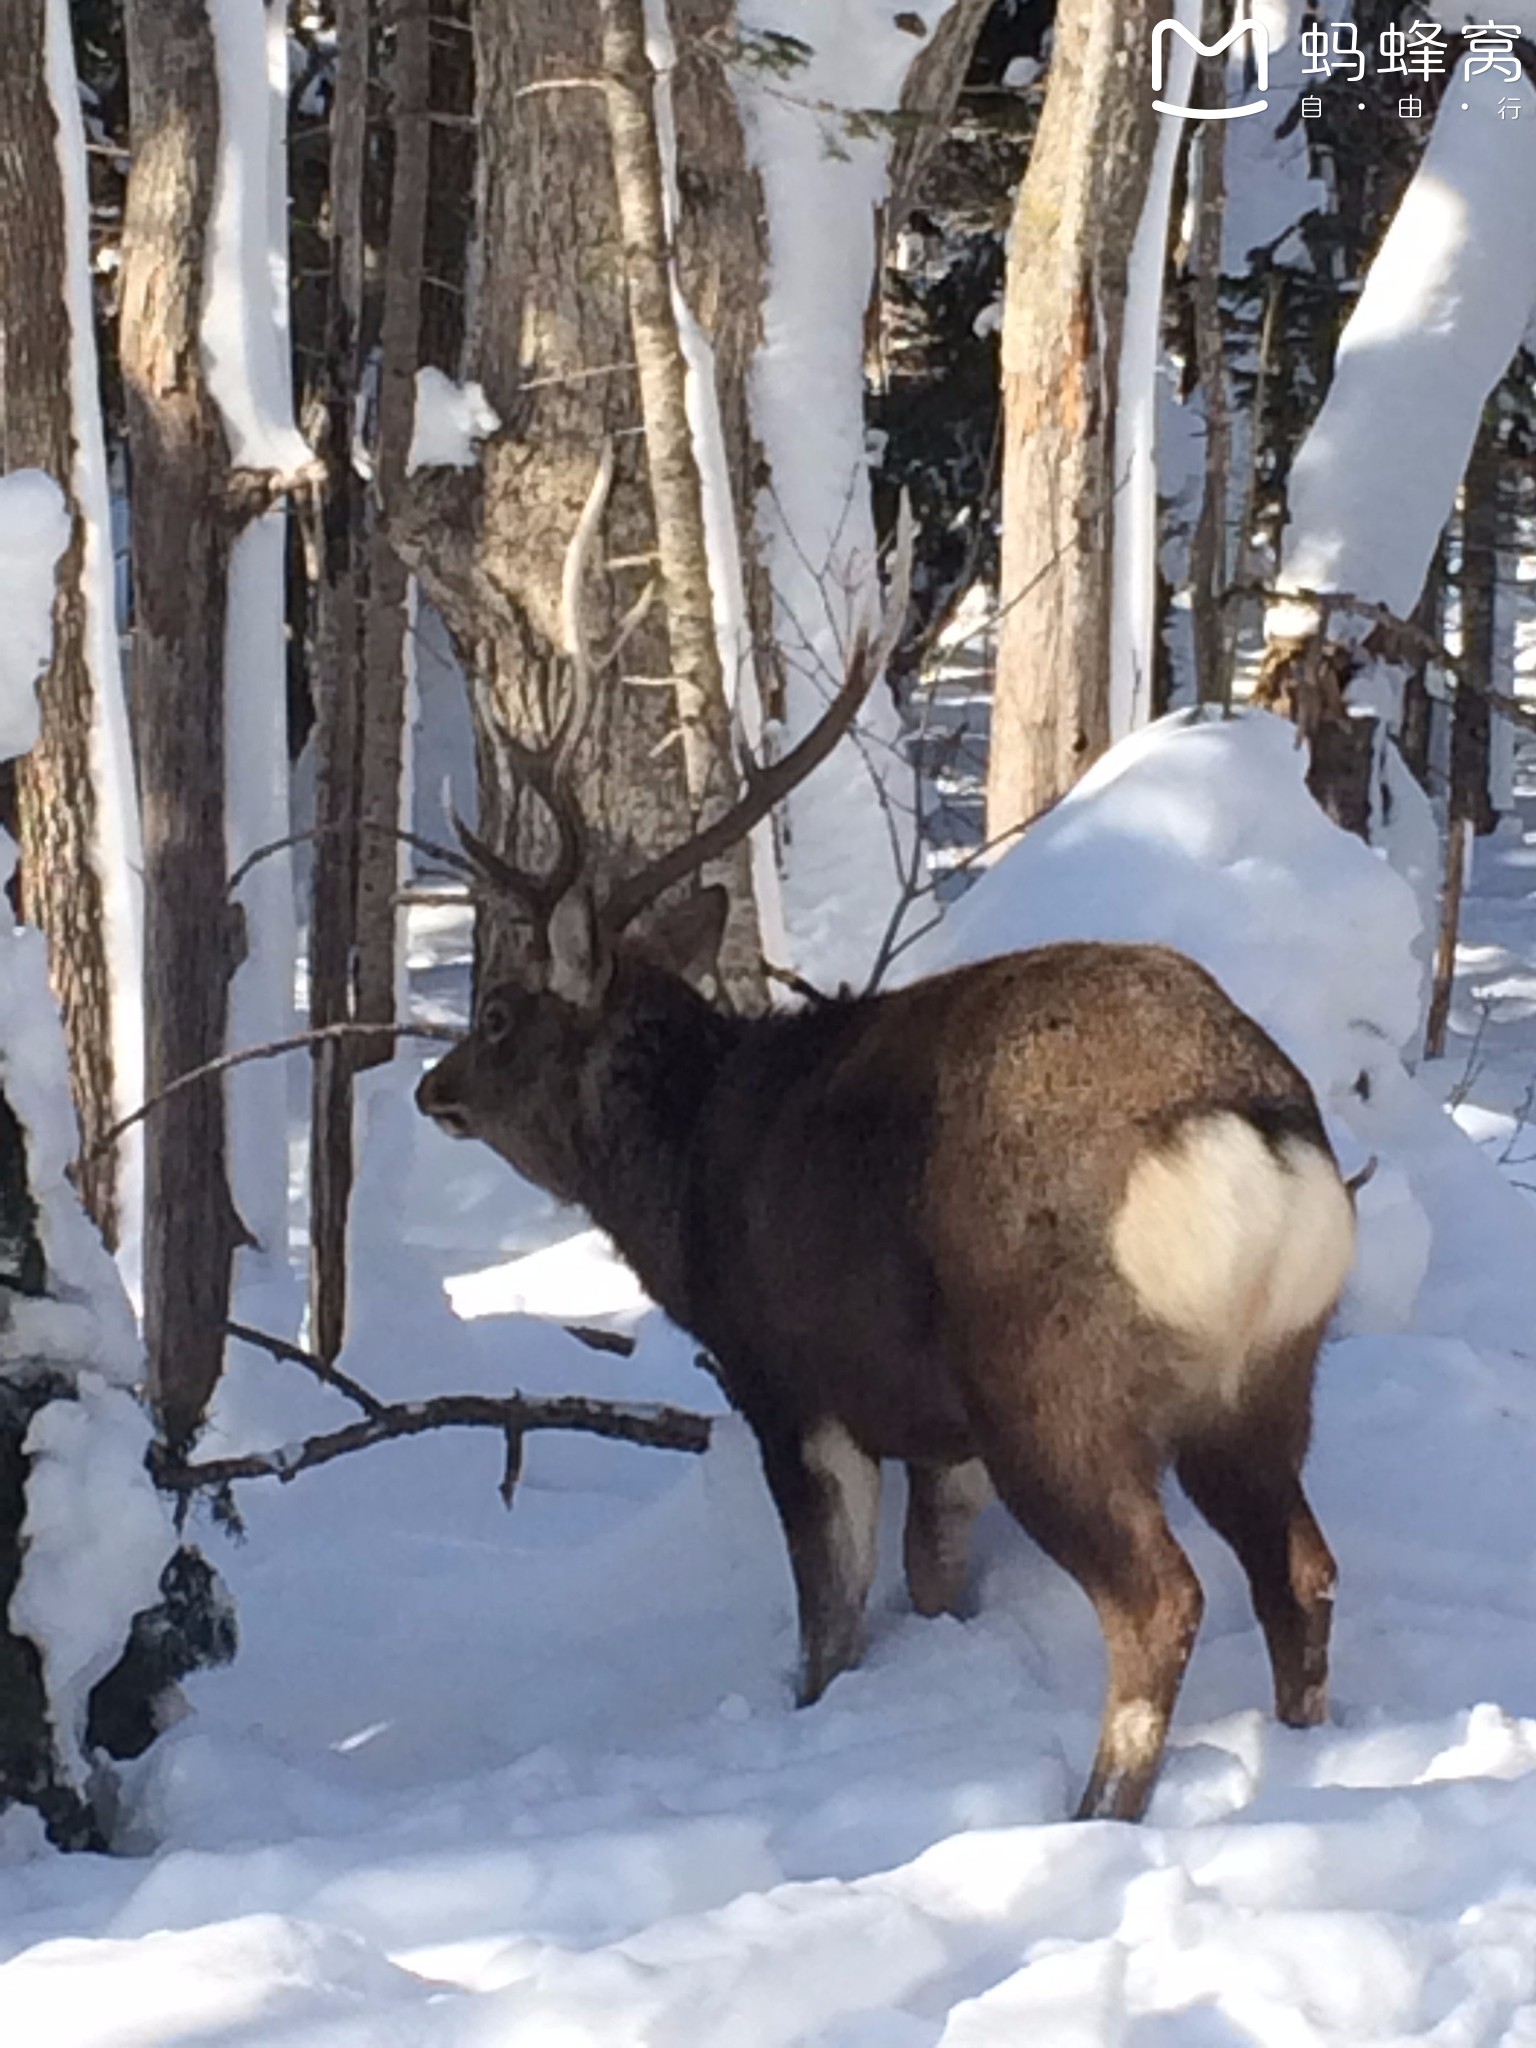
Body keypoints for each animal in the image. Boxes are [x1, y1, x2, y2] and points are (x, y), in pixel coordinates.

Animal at [415, 552, 1351, 1818]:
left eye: (503, 1012)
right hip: (1264, 1377)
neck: (683, 1174)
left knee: (1163, 1595)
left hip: (1052, 1381)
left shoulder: (789, 1380)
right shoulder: (938, 1434)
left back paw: (1095, 1811)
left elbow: (833, 1619)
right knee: (1300, 1569)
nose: (435, 1086)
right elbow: (933, 1580)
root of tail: (1253, 1133)